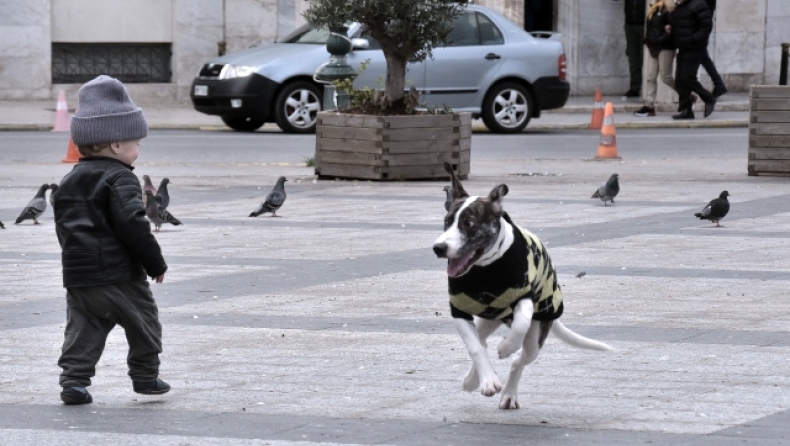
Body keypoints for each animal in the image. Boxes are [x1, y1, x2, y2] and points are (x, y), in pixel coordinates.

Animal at [434, 163, 612, 408]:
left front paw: (506, 347)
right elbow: (475, 348)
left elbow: (521, 323)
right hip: (487, 320)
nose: (439, 248)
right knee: (482, 341)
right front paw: (487, 381)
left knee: (519, 359)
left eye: (468, 223)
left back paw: (508, 392)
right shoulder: (459, 309)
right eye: (447, 221)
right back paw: (473, 380)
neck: (486, 269)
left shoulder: (524, 296)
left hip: (535, 338)